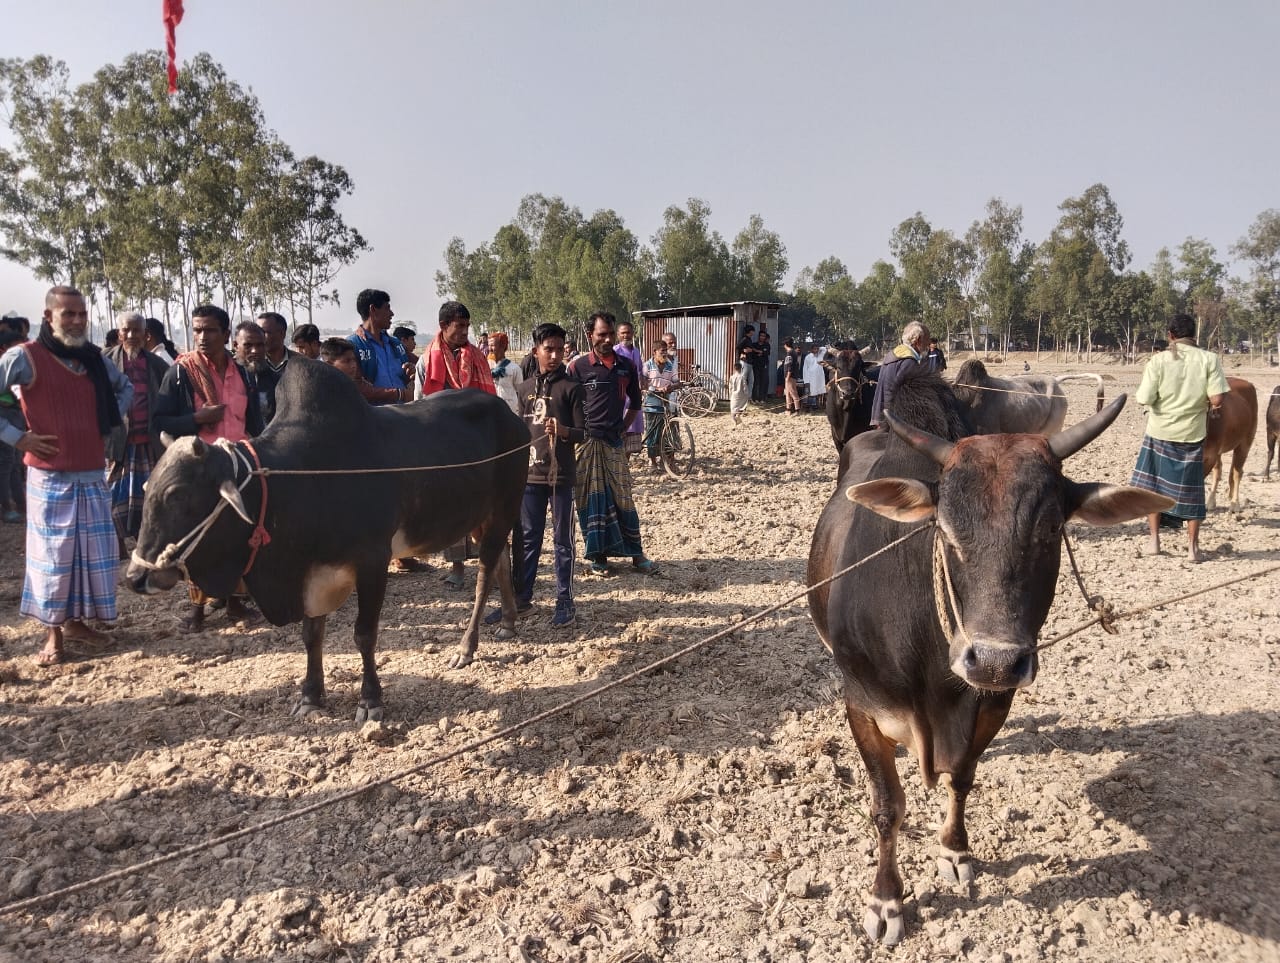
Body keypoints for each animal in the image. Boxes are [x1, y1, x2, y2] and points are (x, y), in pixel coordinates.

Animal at [124, 358, 529, 717]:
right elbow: (311, 634)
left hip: (505, 505)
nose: (135, 577)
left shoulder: (372, 561)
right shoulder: (312, 573)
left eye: (177, 494)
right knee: (501, 560)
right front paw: (310, 696)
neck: (296, 480)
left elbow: (364, 634)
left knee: (484, 573)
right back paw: (508, 621)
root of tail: (514, 418)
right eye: (147, 487)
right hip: (484, 514)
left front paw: (370, 700)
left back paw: (466, 647)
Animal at [808, 371, 1172, 947]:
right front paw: (886, 900)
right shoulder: (863, 707)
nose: (996, 661)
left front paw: (954, 850)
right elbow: (887, 808)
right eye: (945, 528)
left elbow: (961, 778)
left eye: (1051, 529)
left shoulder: (992, 706)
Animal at [1198, 376, 1259, 512]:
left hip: (1245, 443)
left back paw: (1235, 503)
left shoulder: (1210, 456)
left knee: (1237, 472)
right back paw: (1211, 501)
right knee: (1219, 471)